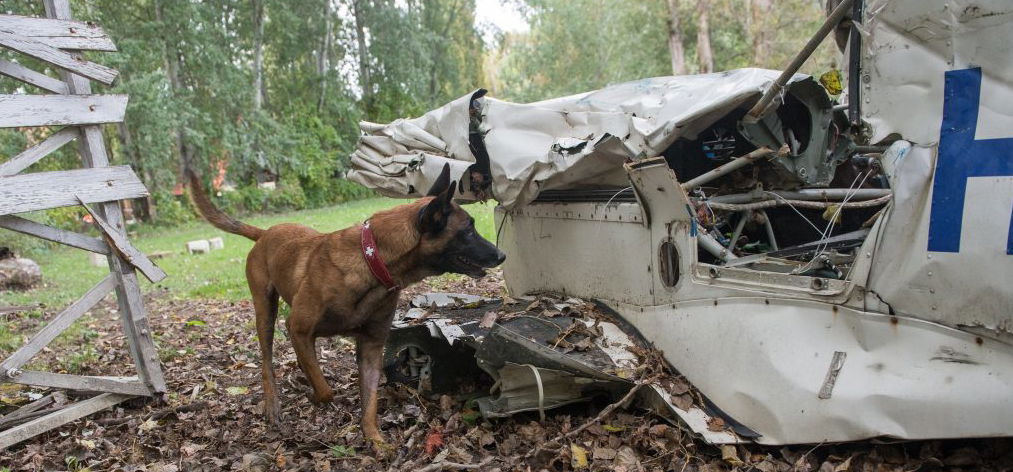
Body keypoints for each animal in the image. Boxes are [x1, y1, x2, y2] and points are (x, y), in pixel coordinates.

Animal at [186, 165, 502, 445]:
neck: (373, 259)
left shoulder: (371, 346)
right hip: (265, 311)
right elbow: (325, 389)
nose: (502, 255)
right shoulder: (298, 327)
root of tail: (265, 233)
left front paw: (375, 440)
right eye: (469, 230)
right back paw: (273, 403)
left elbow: (370, 401)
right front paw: (316, 395)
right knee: (266, 361)